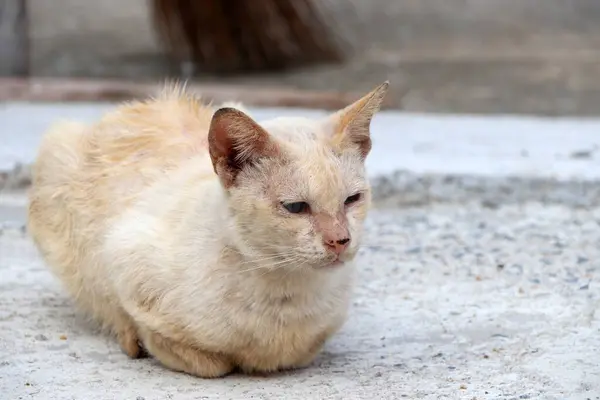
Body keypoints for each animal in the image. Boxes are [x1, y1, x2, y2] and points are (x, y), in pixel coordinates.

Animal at [29, 82, 390, 378]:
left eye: (352, 199)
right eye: (296, 207)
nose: (340, 240)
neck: (285, 299)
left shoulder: (315, 337)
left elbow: (300, 352)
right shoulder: (124, 255)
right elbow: (201, 358)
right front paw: (136, 341)